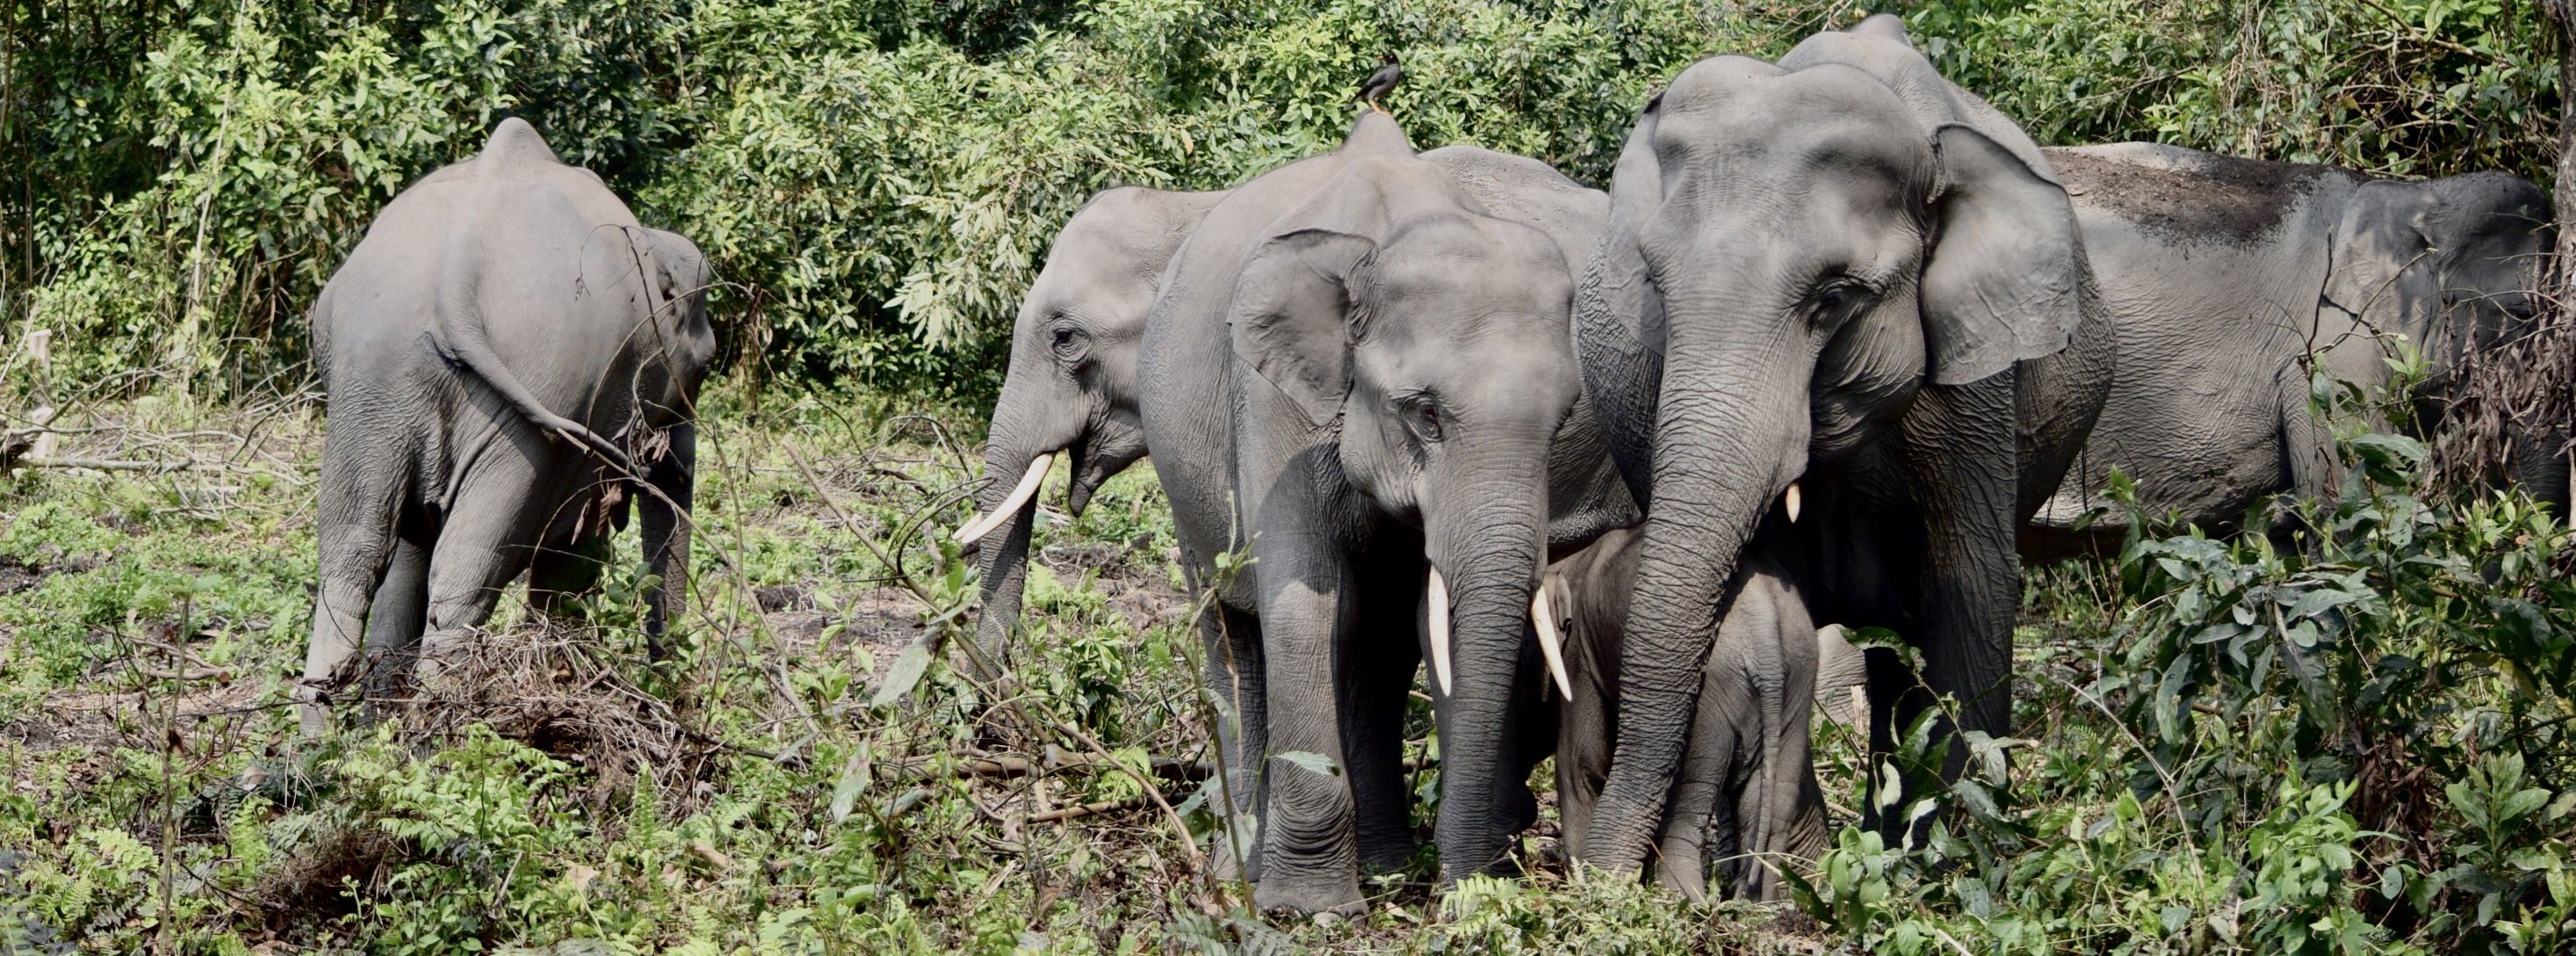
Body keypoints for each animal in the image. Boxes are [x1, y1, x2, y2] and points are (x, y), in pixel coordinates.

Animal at [297, 118, 716, 735]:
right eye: (705, 368)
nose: (674, 699)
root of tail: (454, 275)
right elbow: (570, 554)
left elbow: (407, 562)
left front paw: (378, 728)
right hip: (533, 397)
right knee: (467, 570)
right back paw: (439, 738)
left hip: (369, 380)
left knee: (354, 555)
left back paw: (320, 748)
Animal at [1136, 111, 1636, 915]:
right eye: (1423, 413)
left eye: (1562, 418)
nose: (1466, 891)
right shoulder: (1271, 403)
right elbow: (1302, 604)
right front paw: (1306, 909)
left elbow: (1424, 623)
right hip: (1182, 486)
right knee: (1233, 631)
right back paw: (1242, 871)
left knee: (1372, 647)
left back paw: (1382, 870)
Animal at [1547, 525, 1826, 901]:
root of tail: (1766, 640)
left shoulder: (1580, 653)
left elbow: (1580, 764)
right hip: (1798, 676)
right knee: (1776, 797)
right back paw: (1759, 906)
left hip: (1711, 698)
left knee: (1691, 795)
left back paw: (1682, 898)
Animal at [1572, 15, 2114, 872]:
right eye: (1654, 286)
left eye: (1831, 299)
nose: (1601, 885)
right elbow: (1764, 594)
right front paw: (1816, 867)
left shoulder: (1973, 392)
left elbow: (1969, 593)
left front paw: (1938, 868)